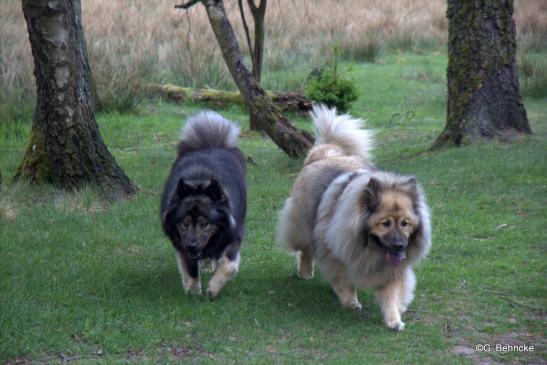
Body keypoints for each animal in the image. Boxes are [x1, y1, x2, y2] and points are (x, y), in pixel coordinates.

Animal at [161, 110, 246, 296]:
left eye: (205, 223)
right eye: (184, 223)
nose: (192, 246)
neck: (199, 182)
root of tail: (209, 144)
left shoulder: (233, 234)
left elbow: (228, 265)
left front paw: (213, 288)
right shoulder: (181, 242)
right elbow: (190, 268)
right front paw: (193, 292)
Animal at [278, 105, 432, 330]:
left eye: (405, 224)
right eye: (385, 224)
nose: (400, 245)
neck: (370, 249)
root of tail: (327, 152)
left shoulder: (392, 270)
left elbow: (391, 294)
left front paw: (394, 319)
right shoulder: (336, 254)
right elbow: (344, 280)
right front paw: (350, 302)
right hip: (303, 224)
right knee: (305, 250)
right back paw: (305, 273)